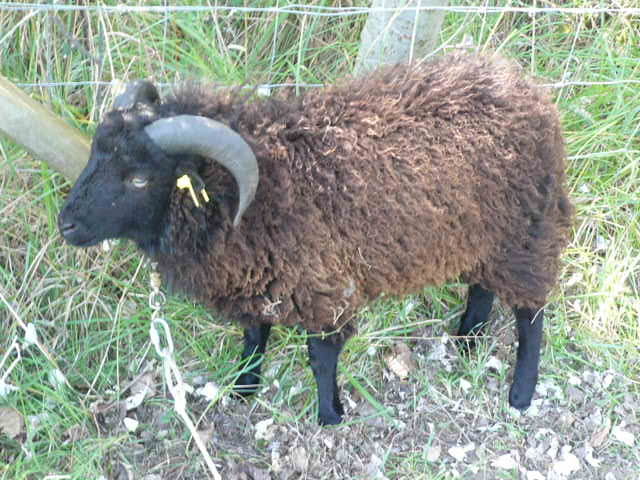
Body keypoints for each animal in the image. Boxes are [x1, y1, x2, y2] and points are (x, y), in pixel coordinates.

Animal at [57, 54, 572, 426]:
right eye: (95, 154)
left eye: (139, 178)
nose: (66, 224)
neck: (259, 191)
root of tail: (529, 93)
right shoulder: (256, 277)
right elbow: (254, 335)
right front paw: (244, 388)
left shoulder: (324, 287)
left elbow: (320, 357)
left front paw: (330, 415)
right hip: (484, 232)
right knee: (482, 284)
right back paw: (467, 339)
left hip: (526, 231)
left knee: (531, 314)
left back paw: (521, 391)